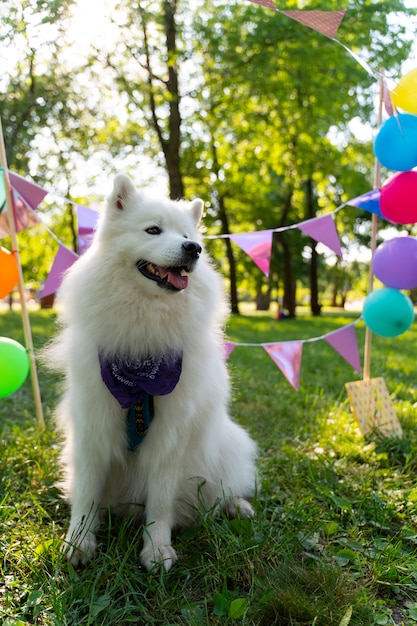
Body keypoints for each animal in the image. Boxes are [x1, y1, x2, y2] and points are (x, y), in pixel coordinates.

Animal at [44, 173, 254, 568]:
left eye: (187, 234)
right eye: (153, 230)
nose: (193, 248)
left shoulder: (171, 433)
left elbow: (160, 497)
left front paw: (157, 548)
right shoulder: (94, 427)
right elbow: (87, 495)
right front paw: (79, 542)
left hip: (226, 445)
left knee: (221, 488)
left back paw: (236, 506)